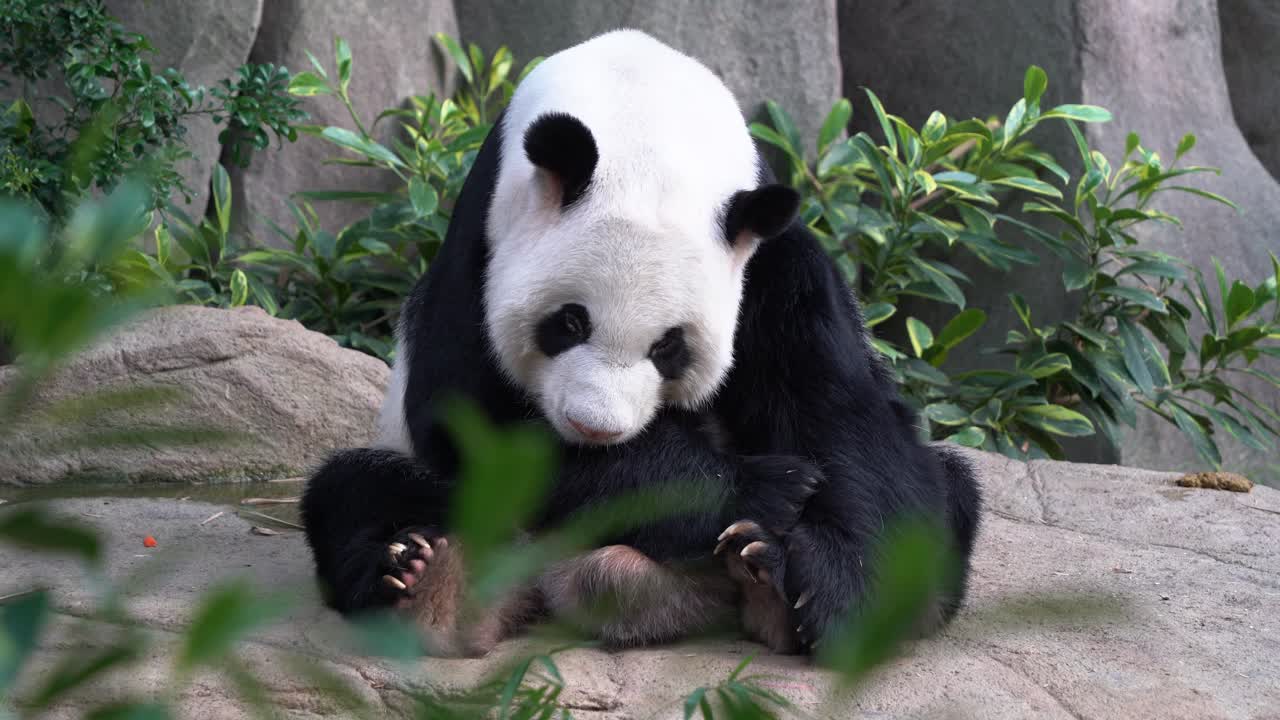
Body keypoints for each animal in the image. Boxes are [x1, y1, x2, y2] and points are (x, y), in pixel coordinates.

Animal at [300, 29, 981, 657]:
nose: (593, 429)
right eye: (569, 323)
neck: (644, 123)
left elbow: (838, 414)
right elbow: (469, 415)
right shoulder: (482, 243)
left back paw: (766, 579)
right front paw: (762, 486)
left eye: (669, 348)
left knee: (947, 493)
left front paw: (830, 587)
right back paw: (420, 577)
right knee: (356, 492)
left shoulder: (774, 265)